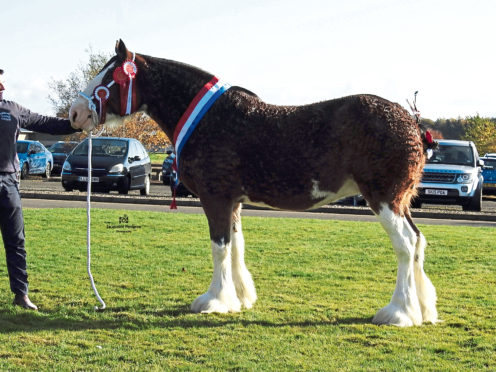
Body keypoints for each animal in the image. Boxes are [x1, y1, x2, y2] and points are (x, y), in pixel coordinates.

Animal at [69, 39, 438, 326]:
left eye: (108, 77)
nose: (75, 113)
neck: (211, 117)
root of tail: (412, 123)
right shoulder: (233, 200)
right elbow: (236, 246)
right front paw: (240, 298)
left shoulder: (216, 197)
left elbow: (219, 247)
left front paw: (214, 301)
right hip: (401, 201)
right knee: (418, 241)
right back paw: (422, 310)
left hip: (384, 199)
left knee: (405, 245)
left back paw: (398, 313)